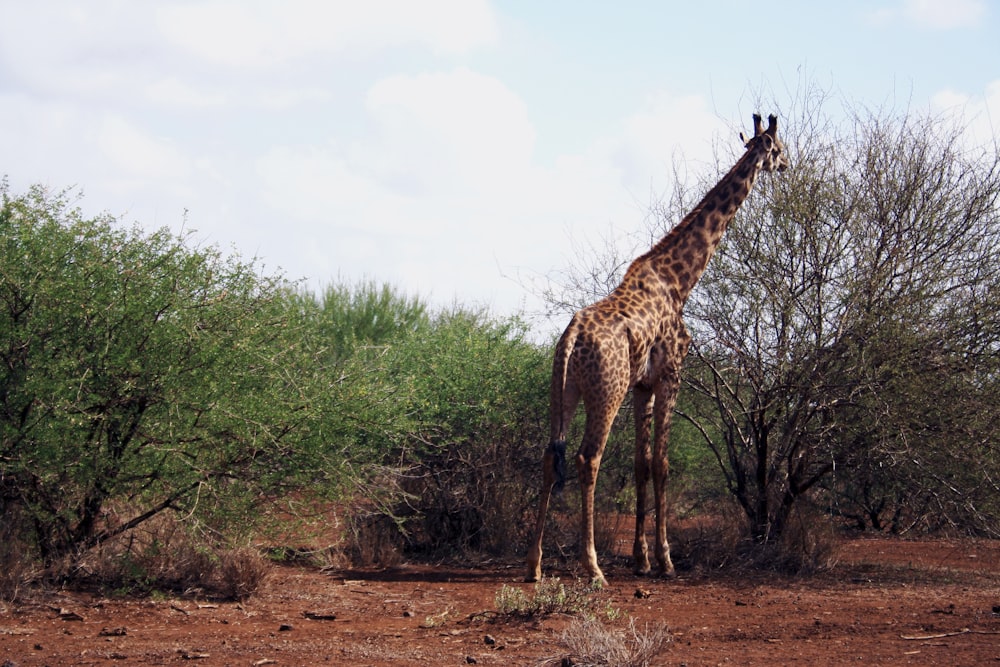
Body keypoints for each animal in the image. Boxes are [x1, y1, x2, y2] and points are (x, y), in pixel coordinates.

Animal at [524, 113, 788, 584]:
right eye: (778, 148)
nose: (789, 166)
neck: (680, 281)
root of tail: (571, 338)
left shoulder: (642, 385)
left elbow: (641, 465)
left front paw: (641, 558)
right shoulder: (670, 374)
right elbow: (663, 465)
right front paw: (665, 560)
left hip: (564, 390)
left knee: (548, 456)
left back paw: (534, 564)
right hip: (605, 392)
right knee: (587, 458)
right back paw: (592, 567)